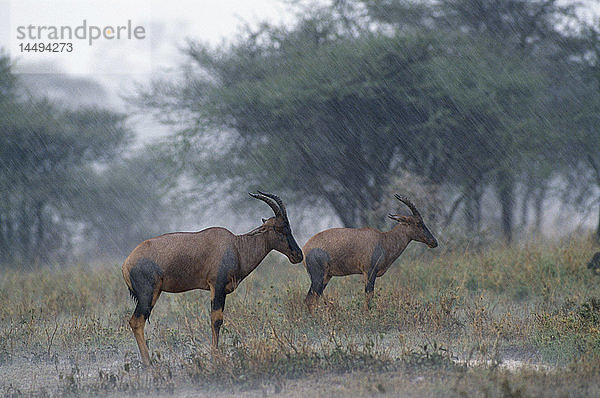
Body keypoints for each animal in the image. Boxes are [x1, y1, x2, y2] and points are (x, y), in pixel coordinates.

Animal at [120, 191, 304, 366]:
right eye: (280, 228)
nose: (298, 255)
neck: (235, 246)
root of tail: (126, 263)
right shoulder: (217, 286)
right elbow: (216, 320)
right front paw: (215, 356)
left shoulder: (222, 290)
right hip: (148, 295)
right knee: (136, 322)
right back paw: (148, 363)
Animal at [304, 194, 436, 312]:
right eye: (418, 223)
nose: (434, 242)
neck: (383, 239)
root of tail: (305, 249)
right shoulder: (370, 271)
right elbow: (369, 295)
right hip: (318, 277)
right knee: (309, 299)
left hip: (326, 277)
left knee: (314, 298)